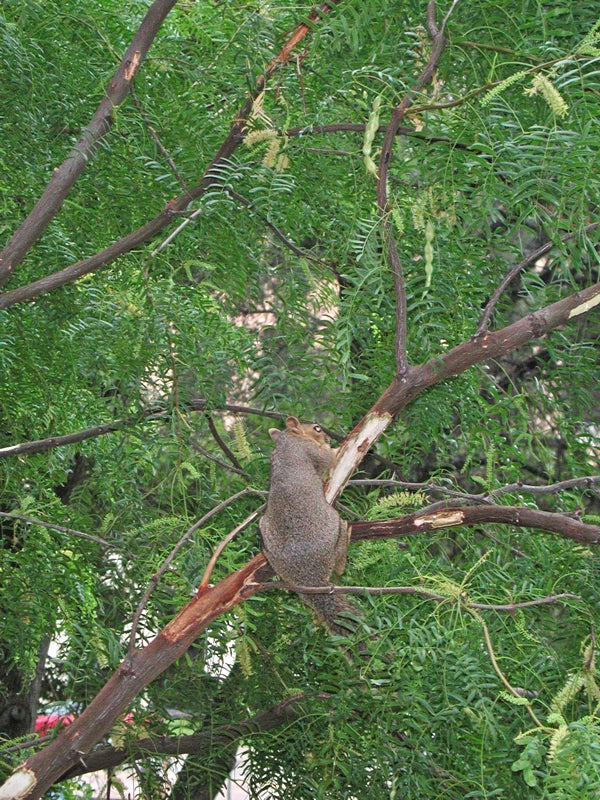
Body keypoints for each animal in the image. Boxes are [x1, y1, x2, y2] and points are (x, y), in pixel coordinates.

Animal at [259, 416, 359, 637]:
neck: (287, 440)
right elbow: (328, 457)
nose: (329, 439)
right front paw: (335, 447)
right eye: (317, 428)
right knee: (339, 566)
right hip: (333, 522)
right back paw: (347, 533)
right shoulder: (312, 451)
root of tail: (310, 578)